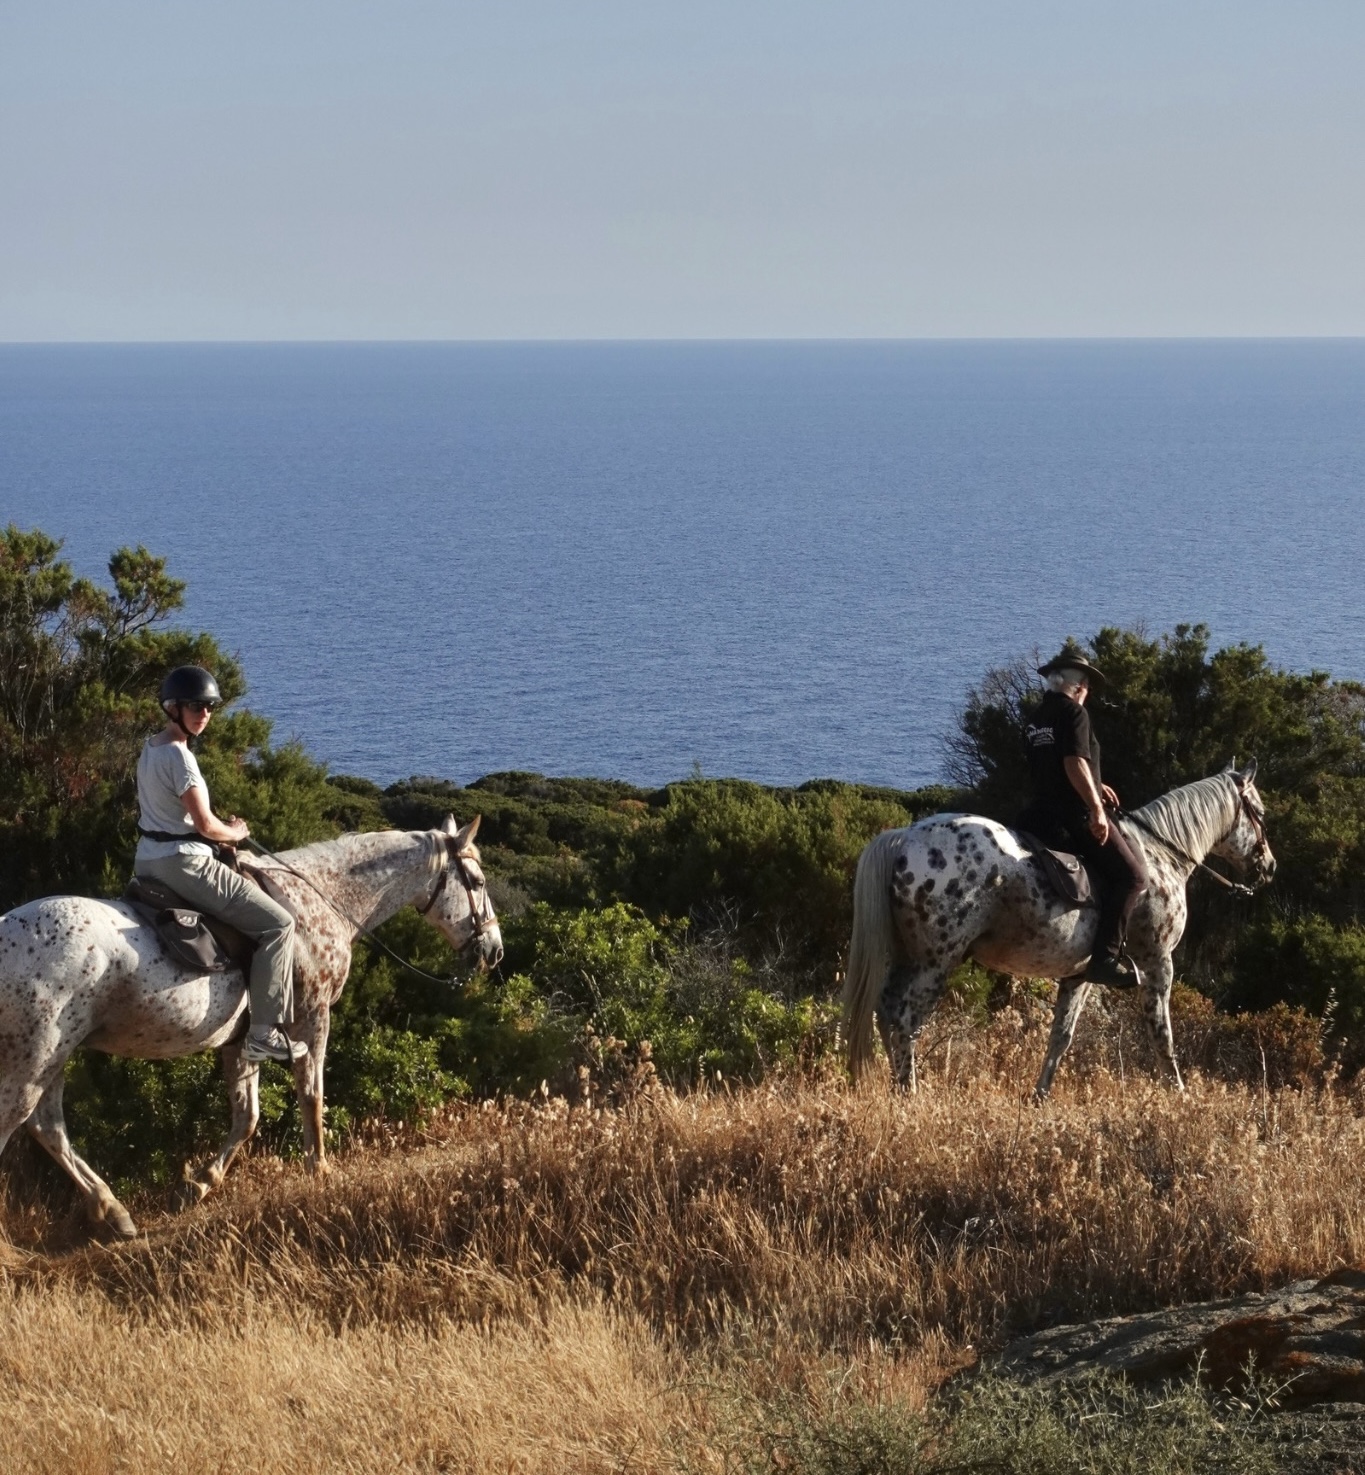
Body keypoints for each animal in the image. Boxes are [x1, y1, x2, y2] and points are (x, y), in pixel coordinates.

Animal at [0, 815, 502, 1239]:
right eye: (477, 883)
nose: (493, 950)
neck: (321, 900)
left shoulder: (241, 1040)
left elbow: (247, 1117)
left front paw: (199, 1185)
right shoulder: (313, 1018)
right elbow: (311, 1094)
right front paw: (320, 1169)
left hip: (56, 1055)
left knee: (48, 1127)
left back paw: (113, 1210)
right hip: (34, 1057)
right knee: (20, 1122)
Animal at [842, 762, 1274, 1098]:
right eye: (1260, 811)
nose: (1268, 866)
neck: (1160, 855)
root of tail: (904, 837)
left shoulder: (1082, 973)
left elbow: (1060, 1037)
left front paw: (1040, 1096)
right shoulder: (1157, 962)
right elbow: (1161, 1034)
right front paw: (1179, 1093)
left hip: (907, 956)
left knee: (886, 1012)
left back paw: (895, 1087)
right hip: (935, 963)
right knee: (905, 1021)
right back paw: (909, 1093)